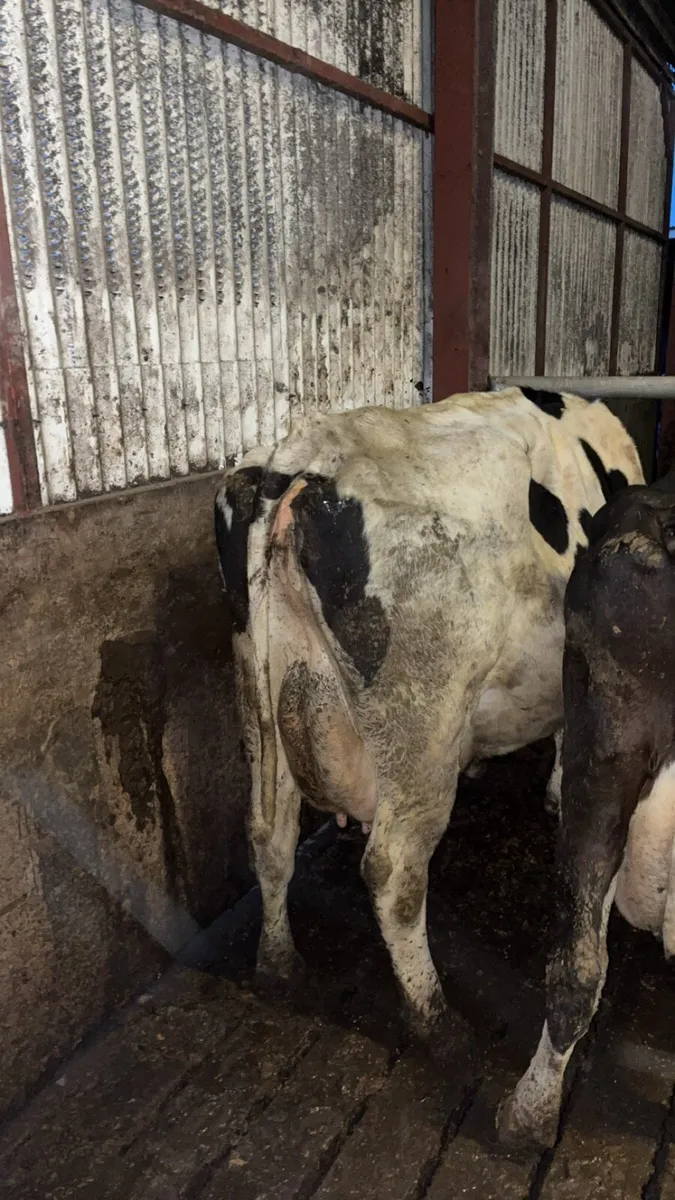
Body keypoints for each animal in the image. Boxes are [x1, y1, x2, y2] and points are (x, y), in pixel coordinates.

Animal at [214, 387, 643, 1058]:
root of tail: (304, 454)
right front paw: (554, 792)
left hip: (259, 696)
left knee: (269, 834)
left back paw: (278, 962)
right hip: (422, 726)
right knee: (392, 872)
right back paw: (433, 1015)